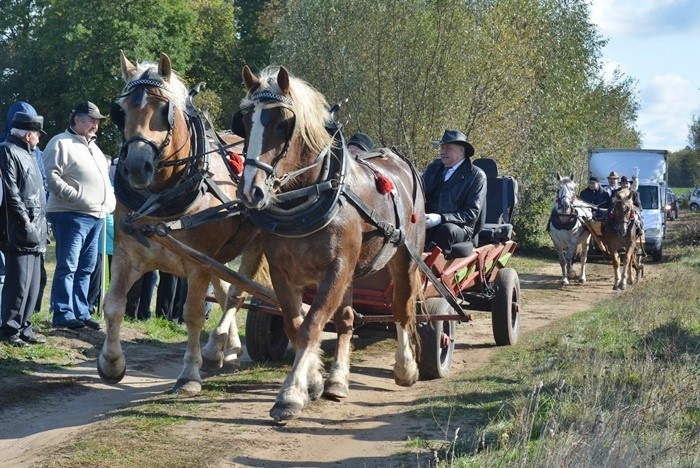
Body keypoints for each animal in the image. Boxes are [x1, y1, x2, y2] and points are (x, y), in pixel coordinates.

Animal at [100, 52, 270, 394]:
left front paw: (189, 374)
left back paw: (216, 346)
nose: (136, 166)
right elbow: (113, 305)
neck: (162, 197)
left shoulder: (197, 265)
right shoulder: (127, 255)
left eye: (164, 109)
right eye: (120, 111)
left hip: (254, 245)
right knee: (225, 290)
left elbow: (192, 314)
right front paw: (111, 363)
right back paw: (225, 348)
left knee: (236, 294)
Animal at [235, 66, 424, 424]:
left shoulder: (336, 269)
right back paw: (337, 379)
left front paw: (290, 395)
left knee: (402, 310)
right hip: (351, 274)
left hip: (405, 258)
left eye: (283, 123)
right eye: (245, 121)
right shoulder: (283, 272)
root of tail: (399, 159)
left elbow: (311, 326)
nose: (250, 191)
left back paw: (406, 367)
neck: (309, 195)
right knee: (347, 319)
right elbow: (296, 325)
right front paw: (313, 382)